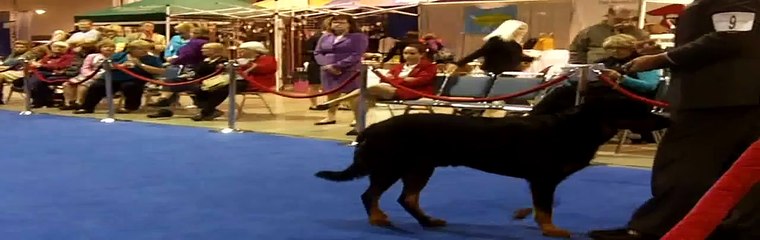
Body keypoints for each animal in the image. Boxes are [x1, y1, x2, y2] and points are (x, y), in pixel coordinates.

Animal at [312, 99, 668, 238]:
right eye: (637, 108)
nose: (665, 118)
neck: (576, 128)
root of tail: (370, 129)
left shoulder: (544, 180)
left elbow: (543, 205)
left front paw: (528, 217)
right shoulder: (544, 178)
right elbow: (546, 208)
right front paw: (550, 229)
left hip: (421, 166)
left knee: (407, 198)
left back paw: (428, 221)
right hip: (392, 165)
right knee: (370, 194)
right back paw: (378, 219)